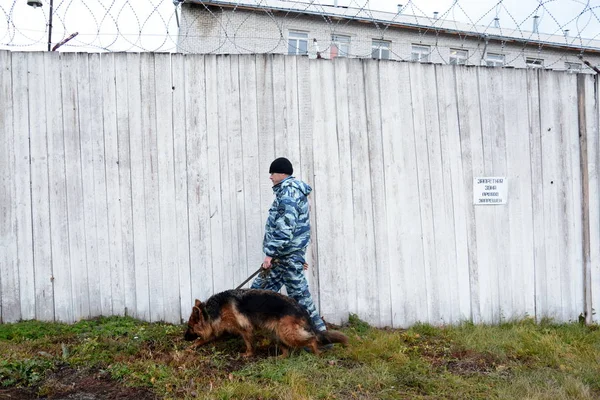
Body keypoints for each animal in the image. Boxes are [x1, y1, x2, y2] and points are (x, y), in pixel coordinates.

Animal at [185, 290, 350, 358]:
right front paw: (190, 347)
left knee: (312, 339)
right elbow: (202, 339)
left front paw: (248, 354)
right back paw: (278, 358)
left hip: (287, 334)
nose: (184, 338)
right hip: (276, 333)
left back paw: (316, 352)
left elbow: (249, 343)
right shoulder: (217, 330)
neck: (213, 309)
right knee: (287, 351)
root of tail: (302, 309)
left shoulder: (245, 328)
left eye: (190, 327)